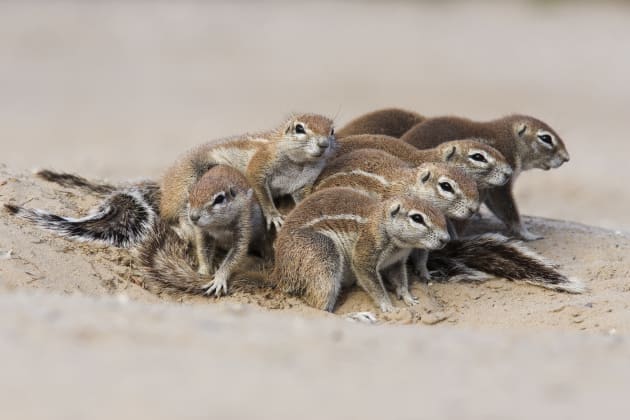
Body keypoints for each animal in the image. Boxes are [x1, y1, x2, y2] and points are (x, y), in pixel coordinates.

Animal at [272, 187, 450, 312]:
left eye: (440, 213)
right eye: (417, 218)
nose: (446, 239)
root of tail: (280, 274)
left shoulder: (396, 262)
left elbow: (401, 280)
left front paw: (408, 297)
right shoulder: (365, 253)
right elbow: (374, 285)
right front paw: (388, 306)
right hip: (323, 253)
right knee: (318, 303)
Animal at [404, 115, 572, 240]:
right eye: (546, 138)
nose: (566, 158)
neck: (509, 140)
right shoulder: (500, 186)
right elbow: (508, 209)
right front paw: (527, 234)